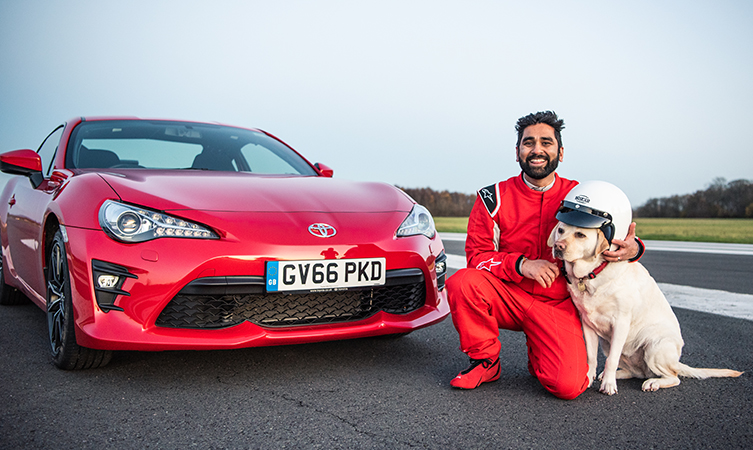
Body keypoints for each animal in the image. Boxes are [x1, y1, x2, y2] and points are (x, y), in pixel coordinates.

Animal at [548, 179, 740, 394]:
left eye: (581, 234)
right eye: (561, 230)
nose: (558, 246)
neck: (593, 273)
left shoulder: (620, 323)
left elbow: (611, 359)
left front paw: (609, 385)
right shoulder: (588, 324)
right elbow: (591, 357)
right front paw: (589, 378)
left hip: (655, 346)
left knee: (672, 376)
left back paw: (651, 382)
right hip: (611, 344)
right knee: (636, 371)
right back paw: (613, 374)